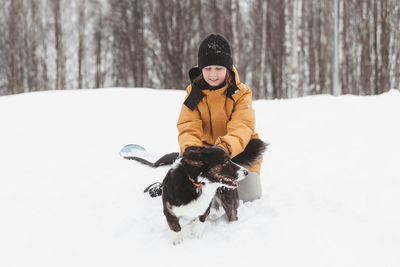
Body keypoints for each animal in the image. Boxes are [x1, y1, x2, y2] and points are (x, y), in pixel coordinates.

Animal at [123, 138, 268, 245]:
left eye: (230, 159)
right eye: (226, 162)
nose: (246, 172)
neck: (197, 184)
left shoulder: (205, 208)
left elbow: (200, 221)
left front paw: (195, 235)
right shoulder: (169, 211)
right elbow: (175, 227)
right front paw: (178, 242)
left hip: (228, 199)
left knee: (232, 214)